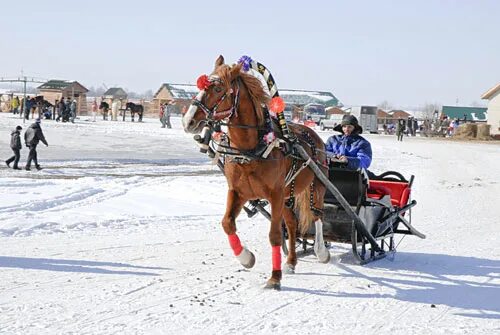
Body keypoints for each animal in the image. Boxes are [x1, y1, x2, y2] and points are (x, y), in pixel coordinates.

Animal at [182, 56, 330, 290]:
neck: (251, 150)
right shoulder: (238, 192)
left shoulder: (275, 194)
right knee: (292, 223)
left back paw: (321, 251)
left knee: (317, 215)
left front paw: (275, 277)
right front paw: (246, 258)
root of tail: (312, 133)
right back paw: (291, 262)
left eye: (218, 88)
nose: (188, 121)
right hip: (287, 196)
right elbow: (227, 223)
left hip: (317, 186)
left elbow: (275, 235)